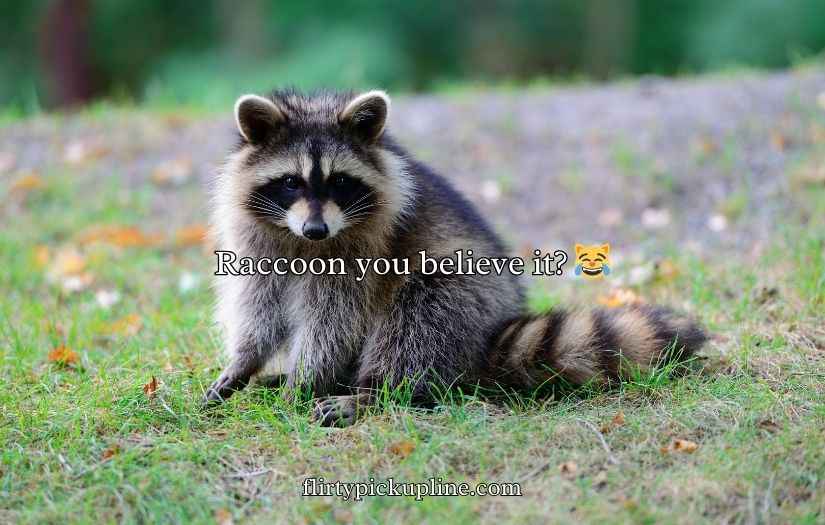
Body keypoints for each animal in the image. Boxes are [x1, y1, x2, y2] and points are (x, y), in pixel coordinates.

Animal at [206, 89, 707, 426]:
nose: (316, 229)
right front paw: (246, 361)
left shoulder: (362, 252)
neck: (303, 241)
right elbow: (259, 305)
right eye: (291, 182)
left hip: (464, 293)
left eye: (340, 182)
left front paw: (308, 379)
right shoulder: (259, 241)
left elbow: (335, 320)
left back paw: (372, 392)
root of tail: (492, 332)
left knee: (418, 320)